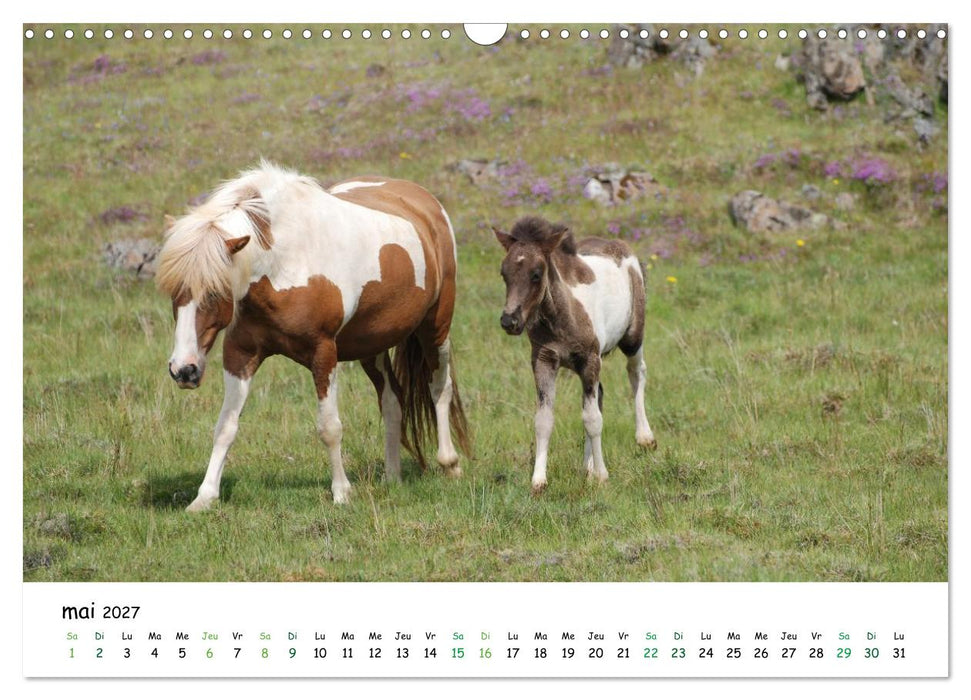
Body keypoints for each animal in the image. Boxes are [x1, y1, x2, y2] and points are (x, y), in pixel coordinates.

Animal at [156, 161, 471, 510]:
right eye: (173, 293)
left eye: (214, 292)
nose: (184, 370)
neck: (283, 263)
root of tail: (425, 201)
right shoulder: (239, 353)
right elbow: (225, 426)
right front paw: (204, 497)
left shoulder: (324, 354)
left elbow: (329, 427)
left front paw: (341, 493)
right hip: (371, 346)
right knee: (392, 400)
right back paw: (392, 477)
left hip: (435, 328)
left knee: (439, 388)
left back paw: (450, 464)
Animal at [493, 216, 657, 493]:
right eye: (504, 274)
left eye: (536, 274)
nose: (509, 321)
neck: (561, 316)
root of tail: (624, 247)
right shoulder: (544, 360)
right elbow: (544, 419)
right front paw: (539, 480)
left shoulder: (590, 359)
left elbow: (592, 419)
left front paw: (602, 476)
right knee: (599, 394)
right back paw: (586, 467)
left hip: (632, 337)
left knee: (637, 372)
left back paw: (644, 437)